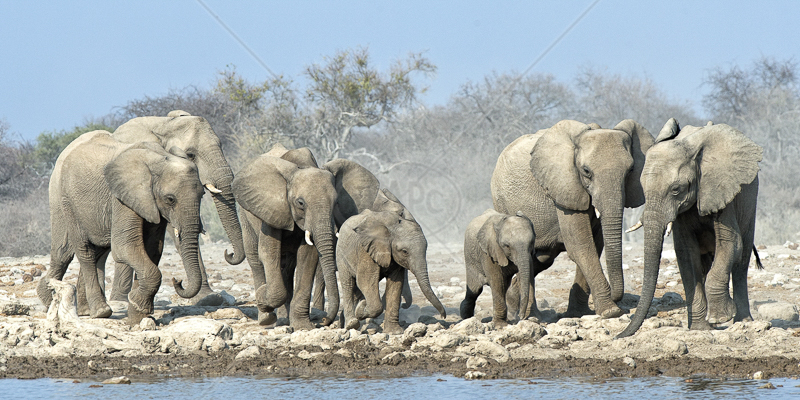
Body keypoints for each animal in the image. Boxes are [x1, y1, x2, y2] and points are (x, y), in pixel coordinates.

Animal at [39, 130, 205, 324]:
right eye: (170, 199)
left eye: (202, 194)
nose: (178, 281)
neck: (158, 159)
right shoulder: (121, 197)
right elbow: (124, 246)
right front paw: (138, 310)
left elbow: (153, 249)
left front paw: (138, 314)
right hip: (66, 200)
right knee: (79, 251)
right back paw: (99, 311)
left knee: (96, 251)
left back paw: (82, 309)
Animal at [233, 145, 386, 330]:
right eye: (300, 203)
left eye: (336, 202)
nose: (322, 320)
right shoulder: (272, 209)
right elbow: (268, 252)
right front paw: (263, 294)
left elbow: (308, 256)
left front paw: (302, 326)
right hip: (246, 216)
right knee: (255, 259)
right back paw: (266, 317)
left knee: (287, 266)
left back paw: (283, 318)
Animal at [490, 118, 652, 318]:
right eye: (586, 171)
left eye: (630, 170)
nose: (617, 297)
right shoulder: (565, 187)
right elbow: (580, 245)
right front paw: (611, 312)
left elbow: (595, 243)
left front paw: (580, 313)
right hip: (502, 201)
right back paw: (532, 316)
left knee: (542, 257)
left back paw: (516, 304)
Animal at [620, 119, 764, 338]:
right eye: (643, 187)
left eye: (676, 189)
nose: (618, 335)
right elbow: (686, 254)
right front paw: (700, 328)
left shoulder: (721, 191)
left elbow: (730, 244)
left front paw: (720, 318)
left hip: (749, 201)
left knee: (741, 261)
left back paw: (744, 322)